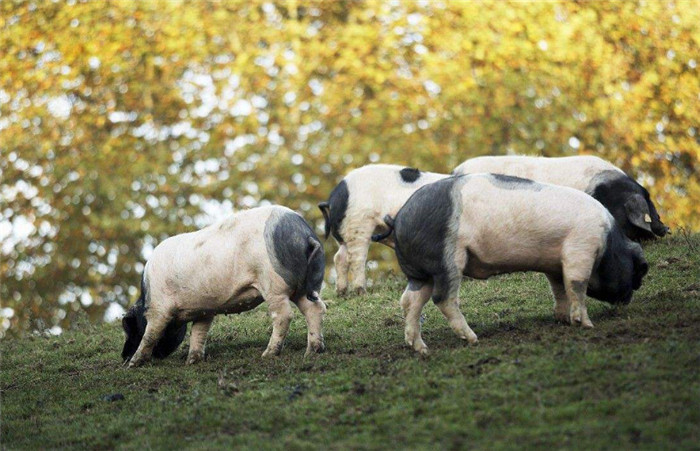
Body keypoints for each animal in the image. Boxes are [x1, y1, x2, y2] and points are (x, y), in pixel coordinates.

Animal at [121, 207, 328, 370]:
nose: (123, 357)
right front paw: (192, 361)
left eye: (130, 329)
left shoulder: (159, 309)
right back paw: (313, 352)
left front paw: (134, 364)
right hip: (304, 287)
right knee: (315, 308)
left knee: (284, 315)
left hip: (274, 284)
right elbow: (198, 333)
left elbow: (150, 335)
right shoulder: (204, 311)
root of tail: (305, 235)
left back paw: (268, 354)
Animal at [318, 164, 448, 294]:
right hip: (359, 223)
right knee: (355, 258)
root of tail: (333, 198)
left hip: (346, 232)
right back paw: (361, 292)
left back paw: (342, 293)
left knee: (339, 257)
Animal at [374, 175, 648, 354]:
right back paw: (472, 339)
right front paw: (586, 325)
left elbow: (560, 289)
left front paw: (562, 320)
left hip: (421, 273)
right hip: (448, 260)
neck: (608, 242)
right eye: (638, 271)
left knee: (409, 300)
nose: (627, 301)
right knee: (443, 298)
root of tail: (399, 217)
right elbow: (577, 285)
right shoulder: (580, 249)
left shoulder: (554, 264)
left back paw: (421, 349)